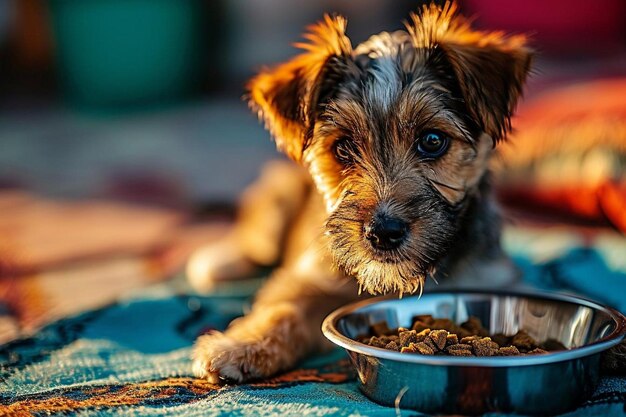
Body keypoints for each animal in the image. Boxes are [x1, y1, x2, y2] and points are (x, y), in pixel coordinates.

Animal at [186, 1, 532, 382]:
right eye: (343, 148)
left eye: (432, 140)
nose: (383, 233)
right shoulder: (309, 278)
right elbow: (283, 310)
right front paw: (240, 346)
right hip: (277, 202)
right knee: (255, 243)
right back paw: (218, 263)